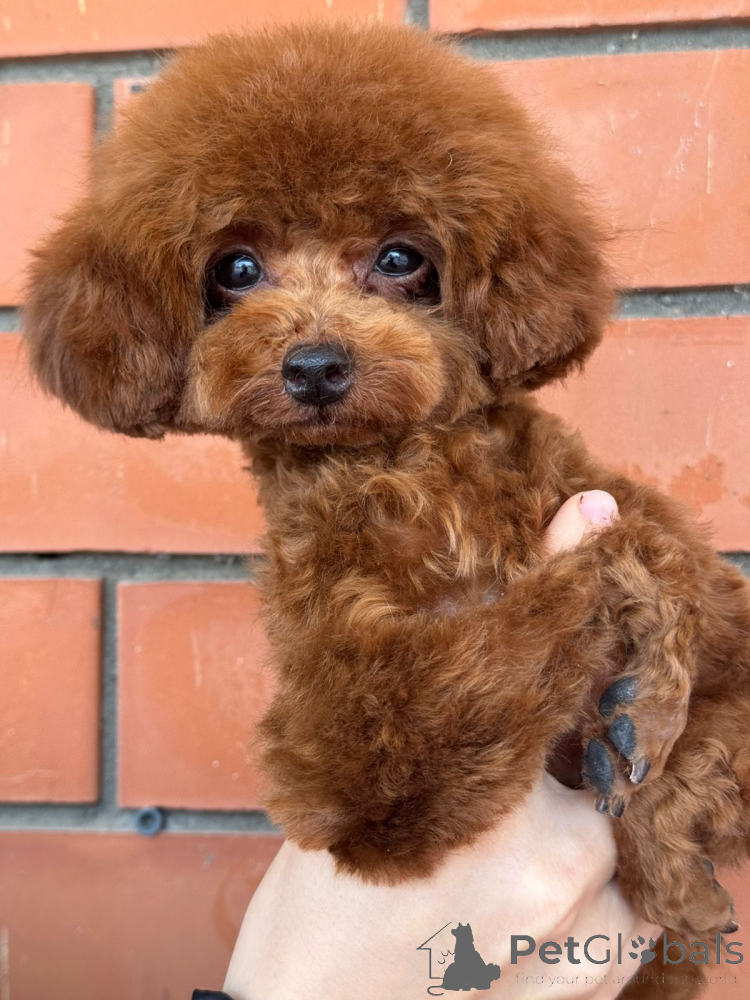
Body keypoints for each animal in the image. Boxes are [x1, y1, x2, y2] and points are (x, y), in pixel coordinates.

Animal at [23, 22, 750, 999]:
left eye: (402, 258)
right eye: (235, 269)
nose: (316, 366)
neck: (405, 473)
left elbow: (689, 656)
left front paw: (662, 782)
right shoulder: (360, 750)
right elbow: (546, 602)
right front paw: (635, 664)